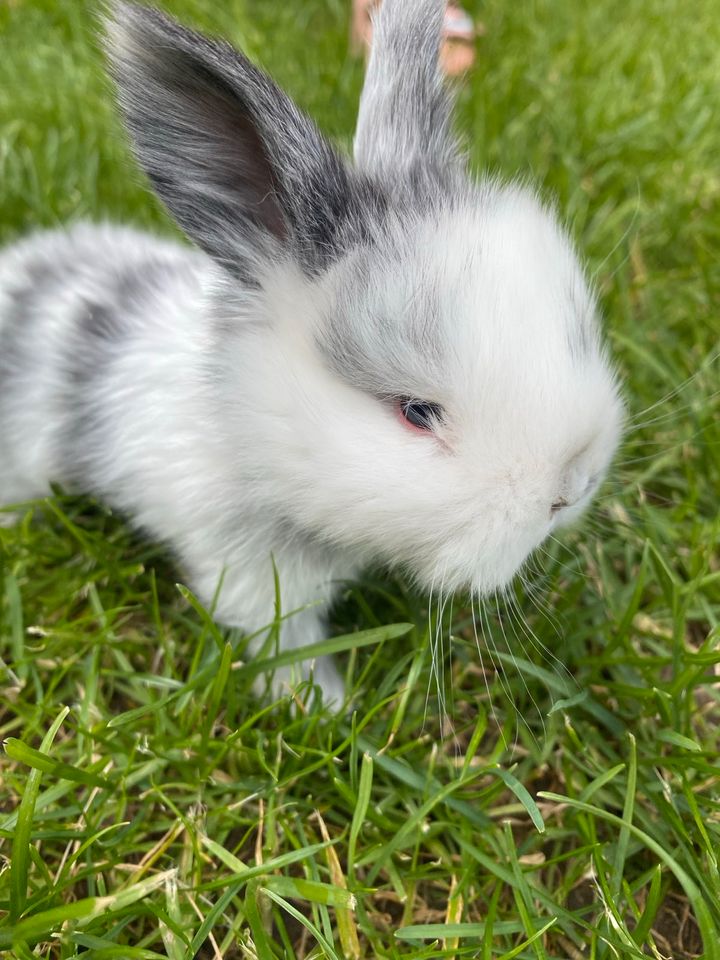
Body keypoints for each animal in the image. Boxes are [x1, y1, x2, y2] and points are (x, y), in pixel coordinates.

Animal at [0, 0, 620, 704]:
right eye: (415, 412)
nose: (572, 488)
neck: (246, 428)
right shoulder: (251, 571)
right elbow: (284, 642)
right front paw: (325, 706)